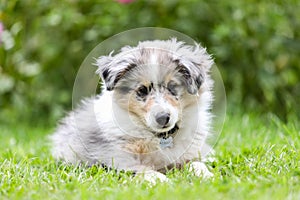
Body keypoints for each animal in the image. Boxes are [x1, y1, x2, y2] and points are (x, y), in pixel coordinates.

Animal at [51, 38, 214, 183]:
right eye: (142, 90)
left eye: (172, 87)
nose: (163, 118)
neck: (158, 136)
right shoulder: (114, 158)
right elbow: (141, 169)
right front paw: (160, 179)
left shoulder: (187, 155)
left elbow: (196, 163)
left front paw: (207, 175)